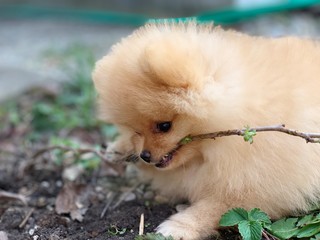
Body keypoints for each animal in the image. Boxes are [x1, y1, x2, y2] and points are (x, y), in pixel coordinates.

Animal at [91, 21, 320, 239]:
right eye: (136, 131)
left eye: (164, 126)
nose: (145, 156)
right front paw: (119, 148)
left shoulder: (258, 182)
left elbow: (215, 208)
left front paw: (179, 227)